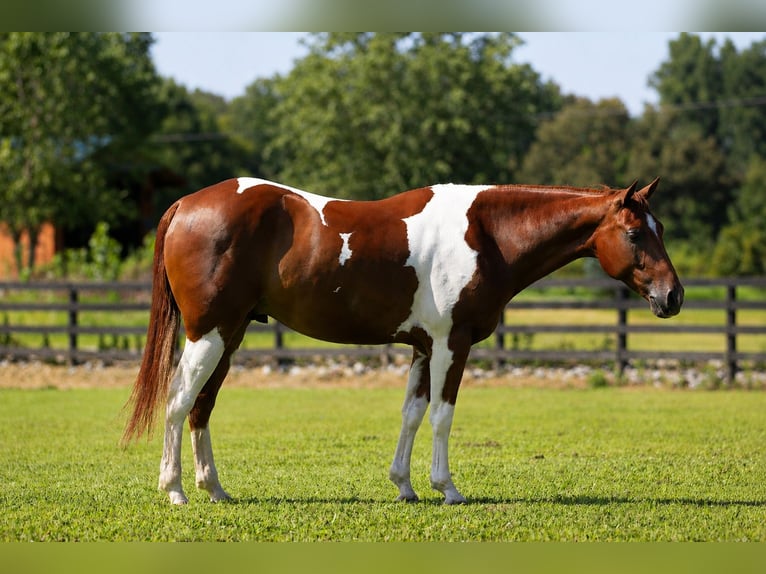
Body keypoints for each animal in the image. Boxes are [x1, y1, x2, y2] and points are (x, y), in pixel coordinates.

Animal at [123, 176, 683, 505]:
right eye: (636, 233)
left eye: (660, 228)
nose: (673, 295)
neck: (487, 234)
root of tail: (186, 204)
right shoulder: (452, 343)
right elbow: (441, 415)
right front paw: (446, 488)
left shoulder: (423, 346)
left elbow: (412, 414)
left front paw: (404, 486)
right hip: (209, 334)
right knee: (178, 402)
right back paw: (175, 491)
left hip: (230, 333)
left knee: (201, 407)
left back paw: (214, 489)